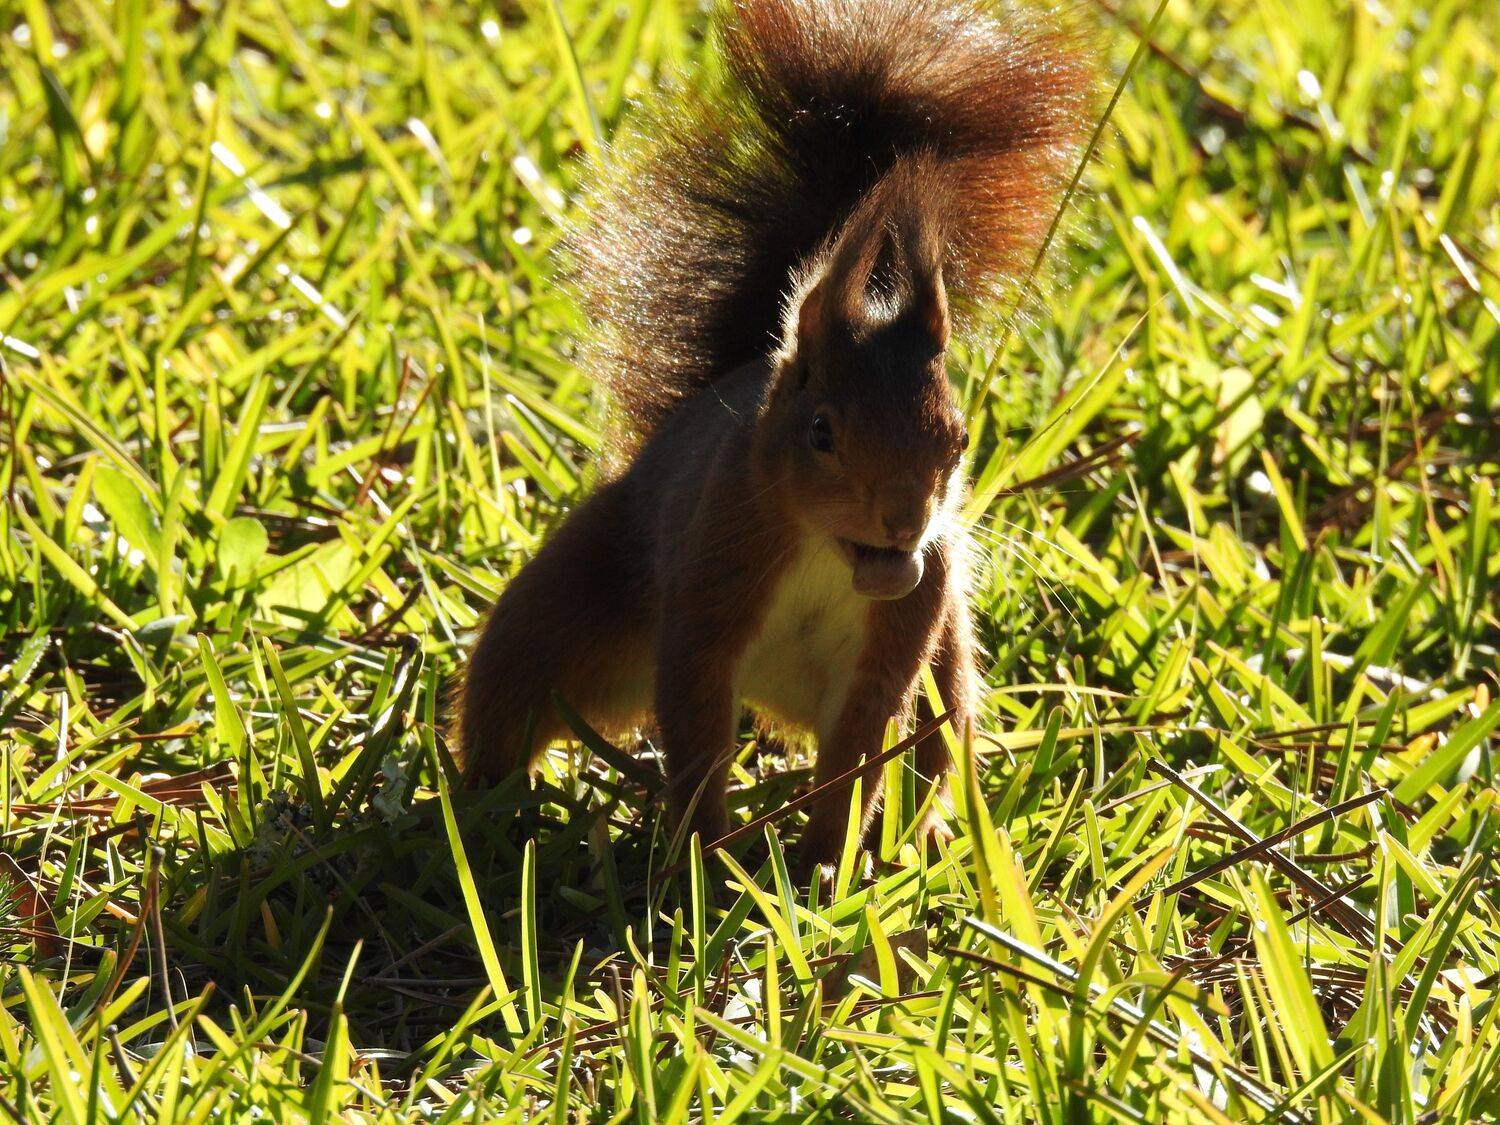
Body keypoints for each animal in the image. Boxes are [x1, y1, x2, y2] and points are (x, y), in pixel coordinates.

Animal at [457, 0, 1092, 872]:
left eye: (961, 441)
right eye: (821, 431)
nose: (905, 519)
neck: (832, 555)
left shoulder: (902, 630)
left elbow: (860, 753)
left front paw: (824, 863)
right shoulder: (714, 582)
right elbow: (697, 725)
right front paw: (705, 858)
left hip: (950, 665)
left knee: (936, 741)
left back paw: (924, 840)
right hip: (569, 610)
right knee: (512, 692)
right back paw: (477, 809)